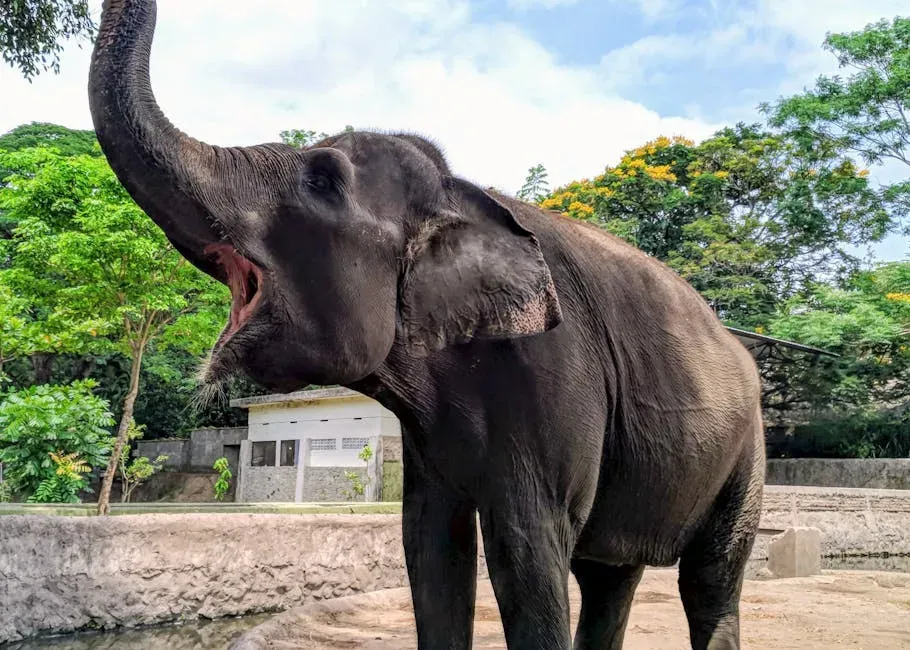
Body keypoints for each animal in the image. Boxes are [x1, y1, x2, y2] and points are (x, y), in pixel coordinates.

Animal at [87, 1, 765, 648]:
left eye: (322, 181)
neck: (461, 192)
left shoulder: (556, 373)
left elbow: (526, 551)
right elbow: (431, 545)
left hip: (747, 448)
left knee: (709, 576)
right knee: (608, 577)